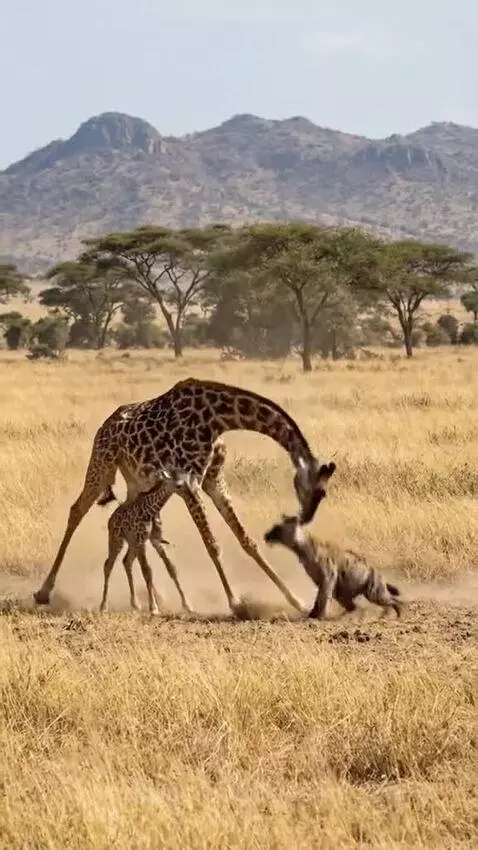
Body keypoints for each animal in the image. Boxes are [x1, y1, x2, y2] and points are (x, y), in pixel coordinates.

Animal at [33, 378, 336, 613]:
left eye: (323, 494)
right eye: (314, 490)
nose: (305, 518)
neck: (219, 419)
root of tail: (105, 424)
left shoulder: (213, 480)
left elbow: (245, 539)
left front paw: (296, 600)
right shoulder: (190, 483)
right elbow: (212, 544)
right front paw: (236, 602)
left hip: (136, 480)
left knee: (133, 523)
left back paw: (157, 597)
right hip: (102, 464)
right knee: (77, 510)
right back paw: (44, 591)